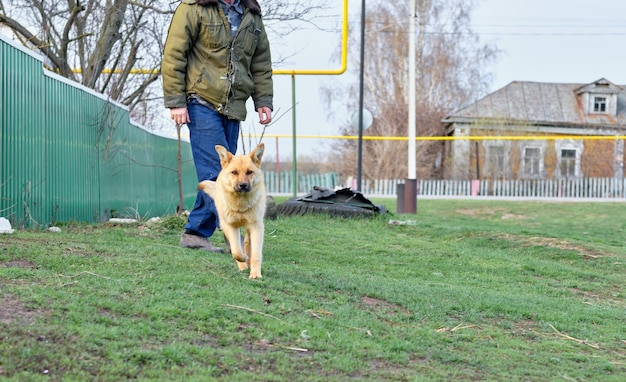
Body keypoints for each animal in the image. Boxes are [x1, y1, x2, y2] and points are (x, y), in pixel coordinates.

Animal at [199, 143, 264, 280]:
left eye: (249, 172)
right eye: (234, 172)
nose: (243, 185)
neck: (240, 205)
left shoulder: (256, 227)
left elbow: (256, 254)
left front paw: (255, 273)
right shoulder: (231, 226)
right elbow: (236, 251)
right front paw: (243, 262)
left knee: (247, 242)